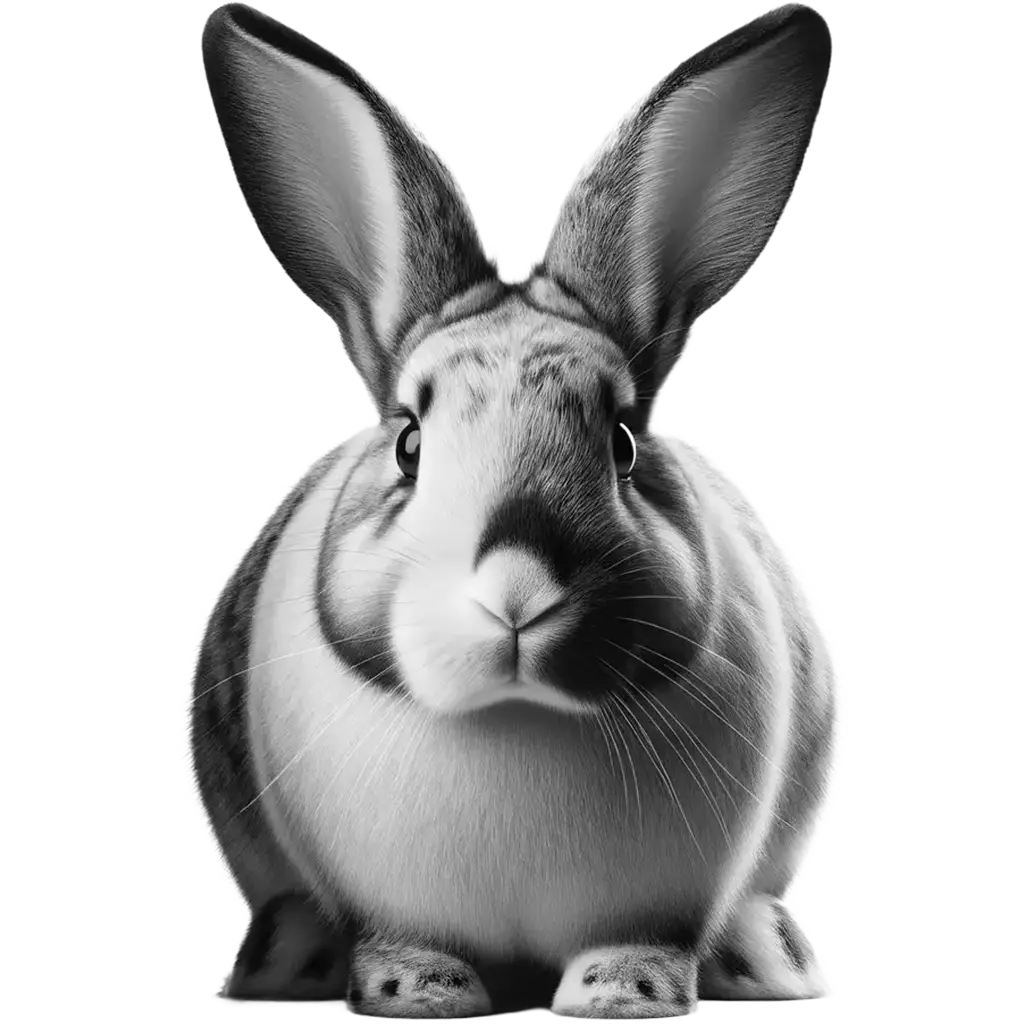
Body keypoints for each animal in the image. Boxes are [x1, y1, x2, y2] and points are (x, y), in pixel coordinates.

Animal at [191, 0, 842, 1017]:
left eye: (622, 443)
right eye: (410, 443)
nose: (517, 593)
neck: (516, 716)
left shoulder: (667, 894)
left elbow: (641, 941)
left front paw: (624, 994)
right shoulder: (386, 894)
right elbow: (406, 938)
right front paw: (417, 990)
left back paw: (765, 960)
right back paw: (285, 958)